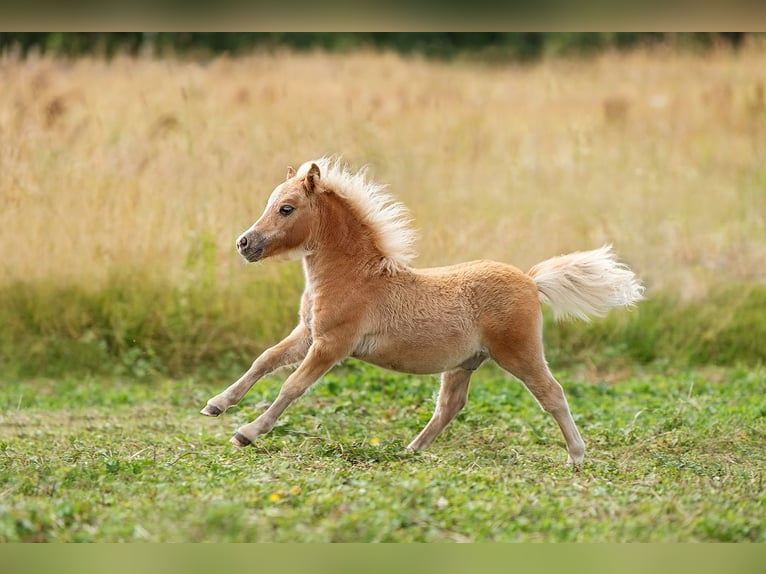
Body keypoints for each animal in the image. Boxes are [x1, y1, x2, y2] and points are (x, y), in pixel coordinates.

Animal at [201, 156, 644, 464]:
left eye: (287, 208)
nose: (244, 243)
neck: (353, 276)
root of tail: (532, 281)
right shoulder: (308, 333)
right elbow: (264, 359)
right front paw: (216, 405)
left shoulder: (332, 344)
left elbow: (292, 386)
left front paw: (247, 432)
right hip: (464, 363)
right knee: (449, 406)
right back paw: (410, 450)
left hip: (519, 353)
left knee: (552, 393)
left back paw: (577, 456)